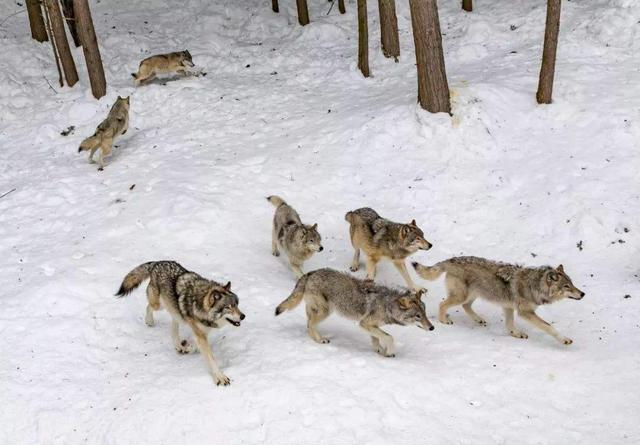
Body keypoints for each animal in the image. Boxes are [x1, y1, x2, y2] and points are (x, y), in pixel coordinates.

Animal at [115, 260, 245, 386]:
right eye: (228, 307)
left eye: (237, 304)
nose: (243, 316)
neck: (200, 304)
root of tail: (157, 263)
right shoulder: (200, 334)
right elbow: (210, 358)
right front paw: (220, 378)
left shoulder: (201, 333)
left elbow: (196, 347)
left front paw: (187, 349)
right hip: (159, 305)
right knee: (149, 307)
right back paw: (150, 321)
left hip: (175, 312)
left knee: (174, 327)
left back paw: (179, 346)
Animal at [272, 268, 432, 358]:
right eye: (418, 316)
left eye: (425, 313)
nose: (432, 328)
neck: (388, 304)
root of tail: (310, 273)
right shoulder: (364, 323)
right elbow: (389, 337)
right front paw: (389, 352)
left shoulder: (369, 325)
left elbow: (376, 338)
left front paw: (379, 350)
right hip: (326, 311)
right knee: (310, 324)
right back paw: (320, 340)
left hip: (318, 310)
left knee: (308, 324)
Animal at [410, 255, 584, 346]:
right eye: (567, 286)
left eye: (572, 284)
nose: (583, 294)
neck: (535, 286)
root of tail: (451, 259)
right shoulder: (525, 313)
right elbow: (549, 327)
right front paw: (564, 339)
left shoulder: (508, 307)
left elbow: (510, 324)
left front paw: (516, 334)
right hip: (462, 296)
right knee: (443, 304)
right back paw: (444, 321)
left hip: (473, 295)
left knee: (466, 306)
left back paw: (478, 320)